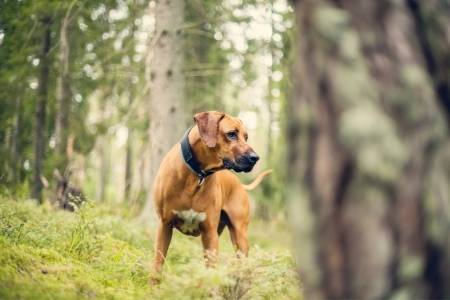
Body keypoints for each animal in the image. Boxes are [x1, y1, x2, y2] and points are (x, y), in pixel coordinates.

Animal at [151, 110, 270, 272]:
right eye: (231, 134)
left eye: (246, 137)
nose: (255, 158)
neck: (196, 175)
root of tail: (239, 184)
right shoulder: (164, 225)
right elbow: (158, 264)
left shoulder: (210, 233)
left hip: (240, 235)